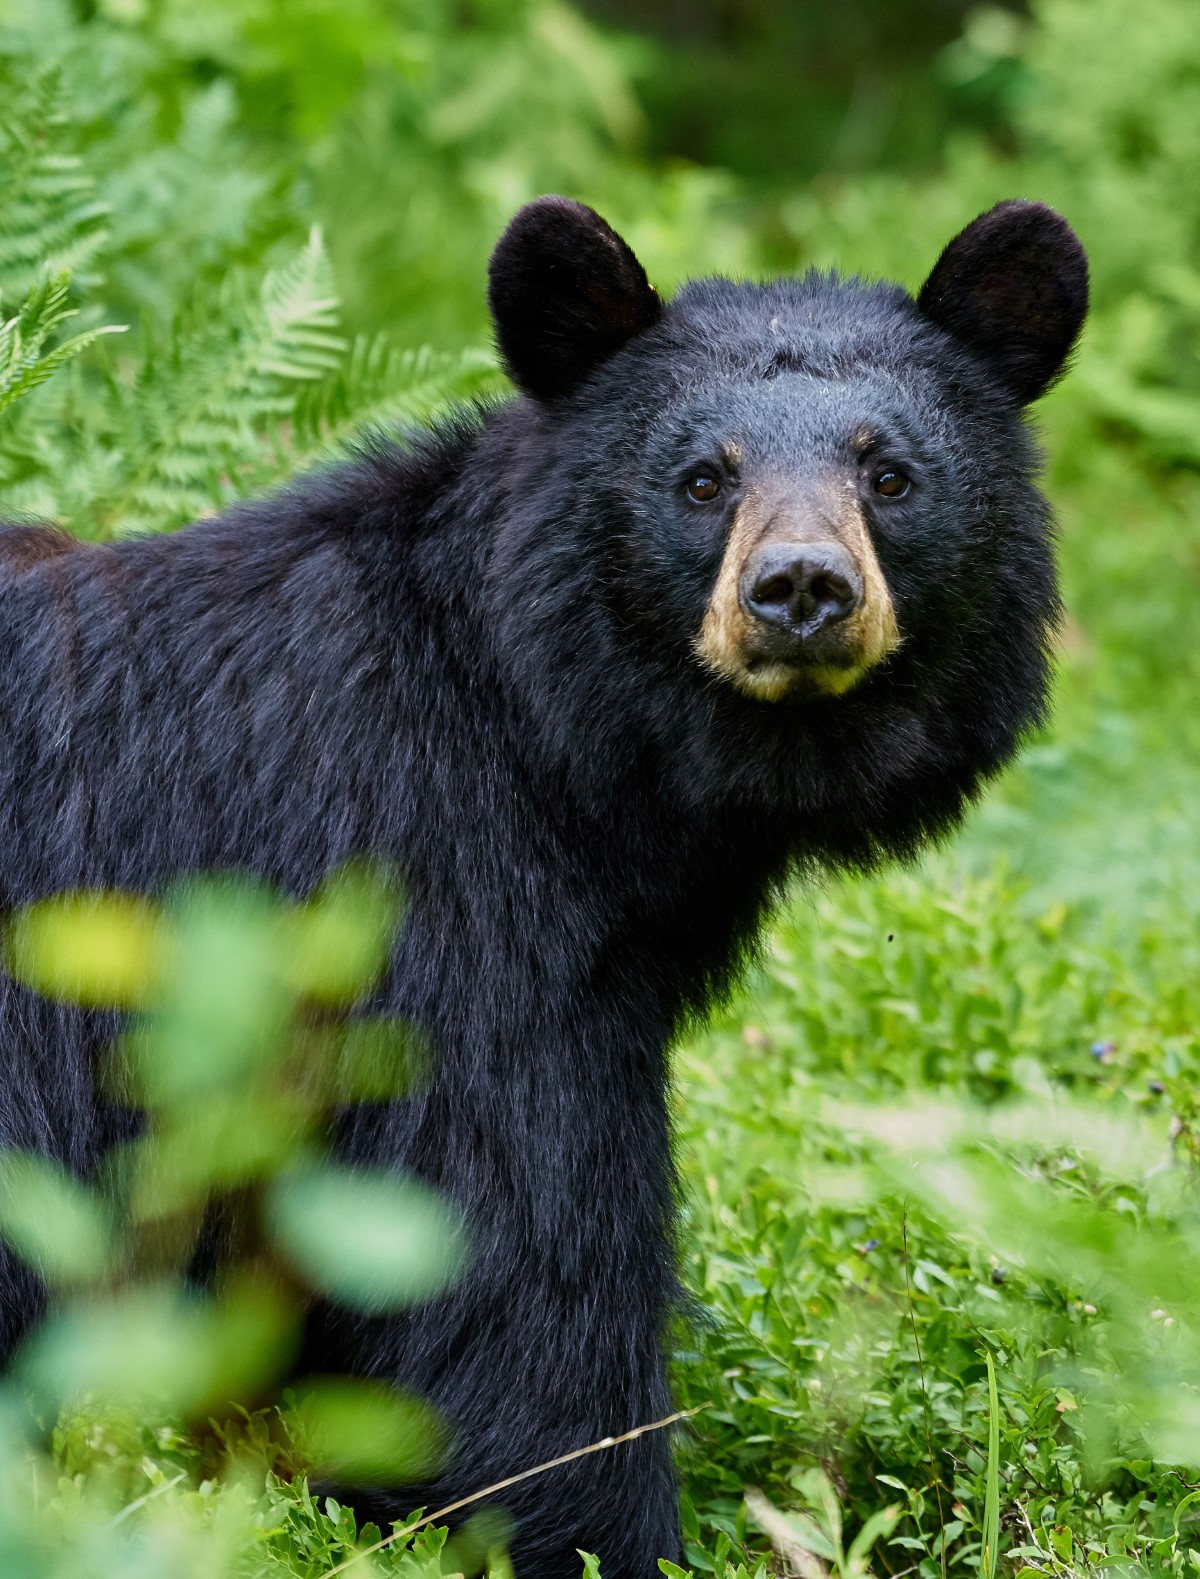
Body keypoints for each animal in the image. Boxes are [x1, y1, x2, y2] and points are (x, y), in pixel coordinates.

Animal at [0, 197, 1086, 1579]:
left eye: (889, 473)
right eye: (702, 478)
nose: (799, 590)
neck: (568, 738)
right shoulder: (430, 891)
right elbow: (511, 1245)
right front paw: (595, 1527)